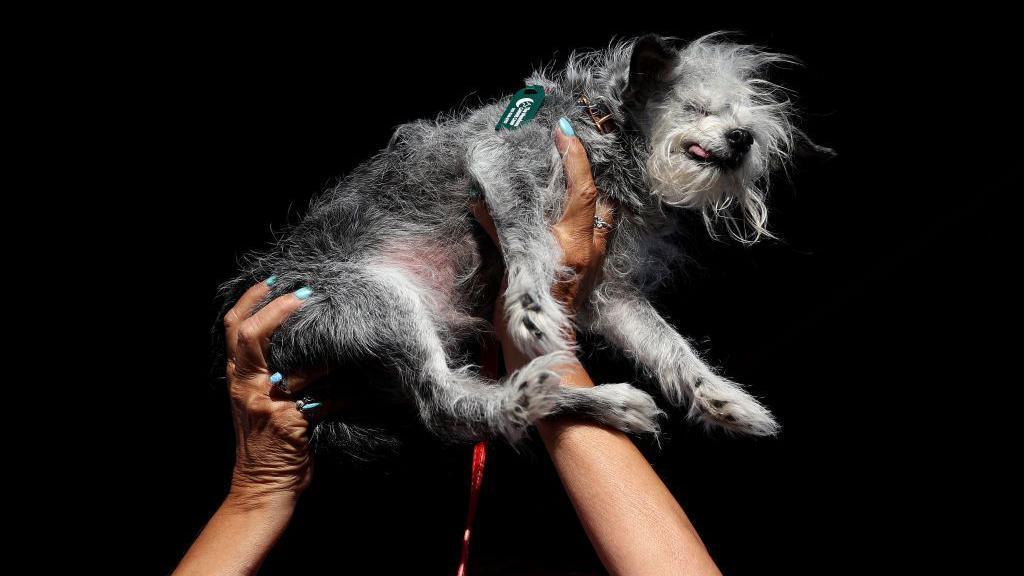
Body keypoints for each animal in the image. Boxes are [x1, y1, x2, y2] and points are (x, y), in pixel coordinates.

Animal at [220, 32, 819, 453]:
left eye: (746, 117)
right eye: (697, 108)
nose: (743, 138)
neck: (602, 125)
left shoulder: (609, 292)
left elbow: (670, 346)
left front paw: (722, 399)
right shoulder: (501, 162)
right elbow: (528, 238)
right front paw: (531, 309)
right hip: (379, 301)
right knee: (447, 404)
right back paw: (570, 395)